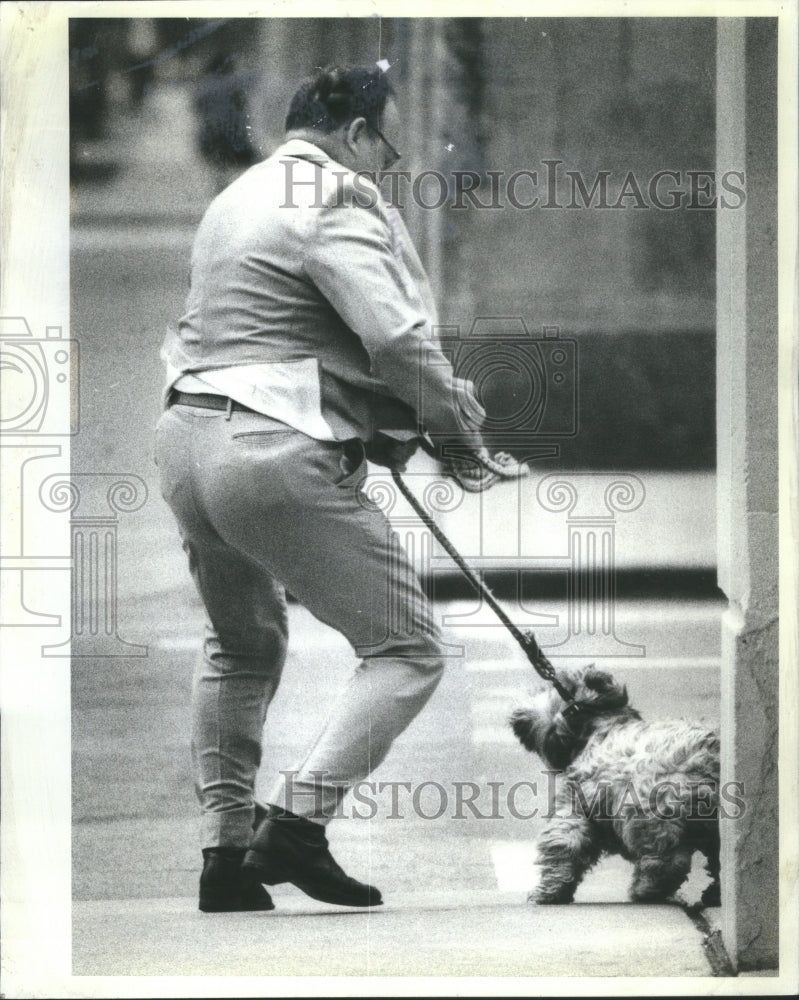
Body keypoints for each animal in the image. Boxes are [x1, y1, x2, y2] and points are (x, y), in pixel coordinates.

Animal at [510, 664, 720, 908]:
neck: (598, 727)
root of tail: (705, 758)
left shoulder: (574, 809)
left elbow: (563, 847)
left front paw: (548, 893)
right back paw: (712, 894)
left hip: (650, 814)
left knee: (666, 862)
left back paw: (647, 890)